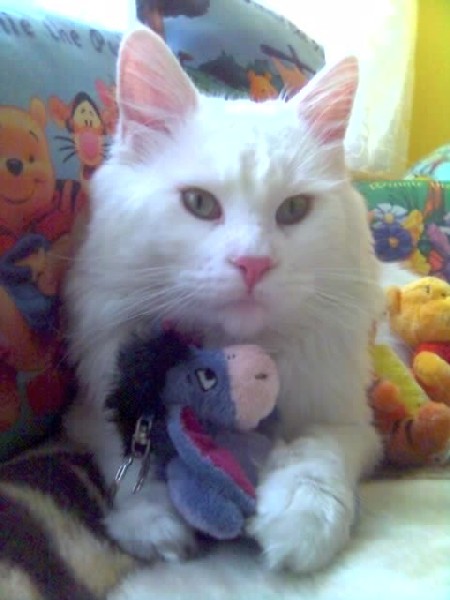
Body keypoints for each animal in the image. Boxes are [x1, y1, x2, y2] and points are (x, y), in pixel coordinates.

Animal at [64, 26, 385, 574]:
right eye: (199, 204)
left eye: (294, 210)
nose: (253, 264)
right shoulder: (92, 405)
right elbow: (128, 457)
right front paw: (154, 526)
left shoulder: (351, 421)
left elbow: (317, 457)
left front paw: (298, 524)